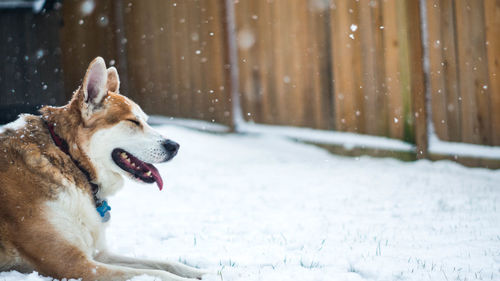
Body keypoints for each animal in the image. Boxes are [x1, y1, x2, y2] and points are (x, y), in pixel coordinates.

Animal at [0, 57, 206, 280]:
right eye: (133, 121)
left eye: (145, 120)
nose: (175, 146)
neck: (70, 158)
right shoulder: (72, 264)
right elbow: (155, 273)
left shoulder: (99, 254)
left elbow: (162, 263)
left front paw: (198, 271)